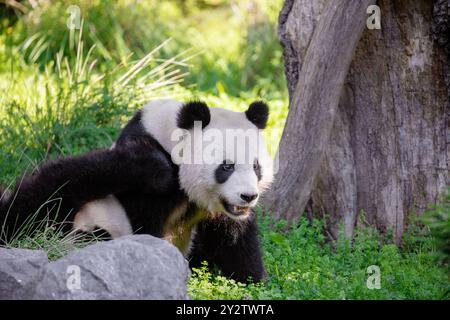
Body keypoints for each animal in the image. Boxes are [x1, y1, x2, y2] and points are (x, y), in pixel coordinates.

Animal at [0, 99, 274, 282]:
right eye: (226, 166)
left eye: (256, 166)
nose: (248, 196)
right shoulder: (147, 189)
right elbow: (147, 226)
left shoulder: (217, 211)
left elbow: (235, 239)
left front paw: (251, 280)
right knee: (48, 194)